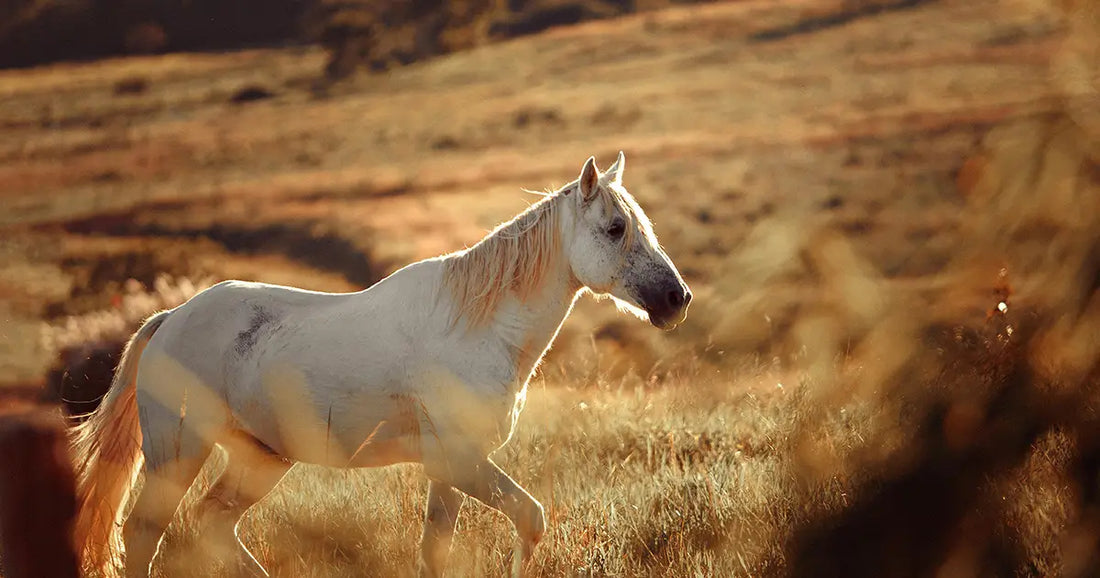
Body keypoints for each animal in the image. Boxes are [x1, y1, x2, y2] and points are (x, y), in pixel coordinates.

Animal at [70, 152, 692, 578]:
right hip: (177, 455)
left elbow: (436, 551)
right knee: (146, 536)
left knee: (214, 523)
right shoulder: (460, 460)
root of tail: (170, 319)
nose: (676, 300)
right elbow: (531, 517)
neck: (478, 328)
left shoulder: (449, 469)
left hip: (261, 459)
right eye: (616, 229)